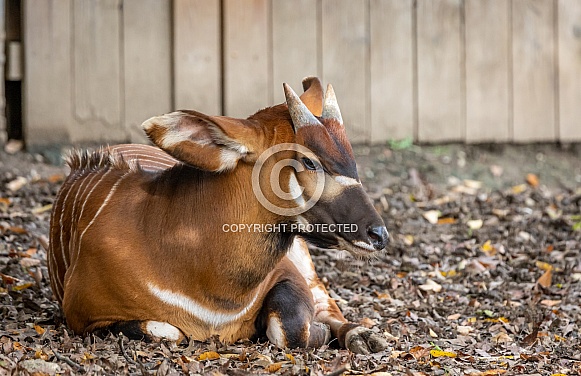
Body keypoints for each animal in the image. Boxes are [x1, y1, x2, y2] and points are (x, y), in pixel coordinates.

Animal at [48, 78, 390, 354]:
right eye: (308, 161)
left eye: (351, 157)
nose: (378, 234)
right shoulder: (83, 316)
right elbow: (166, 329)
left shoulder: (288, 274)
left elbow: (291, 329)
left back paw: (364, 337)